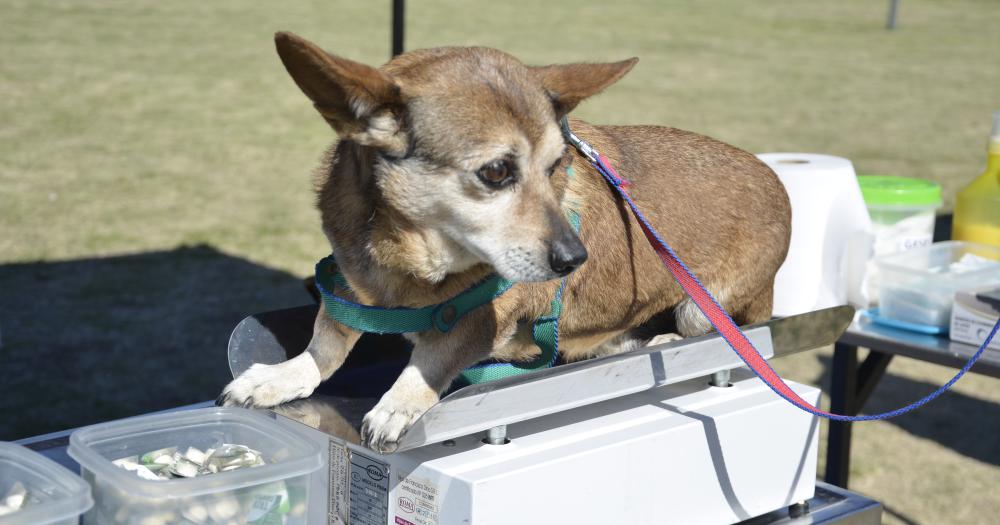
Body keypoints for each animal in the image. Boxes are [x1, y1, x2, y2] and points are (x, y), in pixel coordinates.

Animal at [219, 32, 788, 452]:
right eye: (496, 172)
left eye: (557, 164)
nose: (574, 259)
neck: (413, 266)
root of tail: (778, 184)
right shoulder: (350, 287)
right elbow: (327, 342)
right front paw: (279, 377)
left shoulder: (479, 322)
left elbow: (431, 360)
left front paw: (398, 403)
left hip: (699, 308)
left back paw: (664, 341)